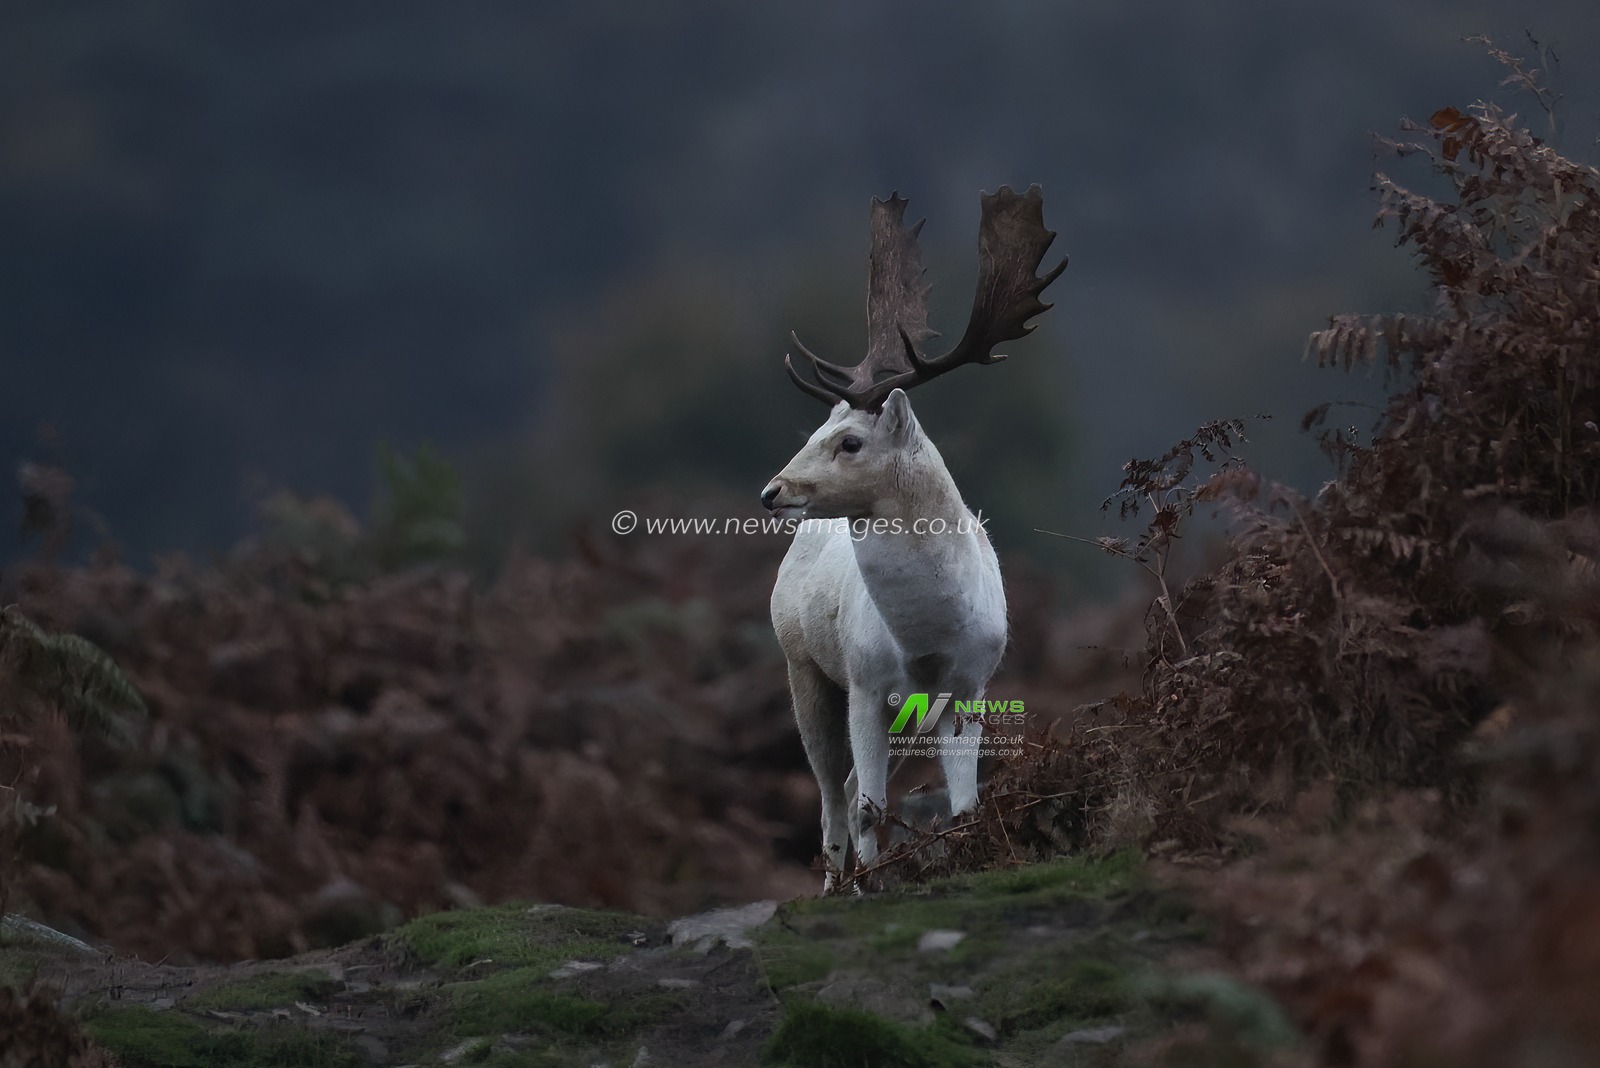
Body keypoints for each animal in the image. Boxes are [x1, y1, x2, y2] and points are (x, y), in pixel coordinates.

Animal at [761, 185, 1065, 892]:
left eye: (849, 441)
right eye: (815, 430)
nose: (773, 490)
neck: (925, 642)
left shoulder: (971, 686)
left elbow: (964, 805)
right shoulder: (867, 683)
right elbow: (870, 807)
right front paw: (871, 887)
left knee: (845, 786)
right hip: (802, 667)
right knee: (833, 796)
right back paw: (834, 884)